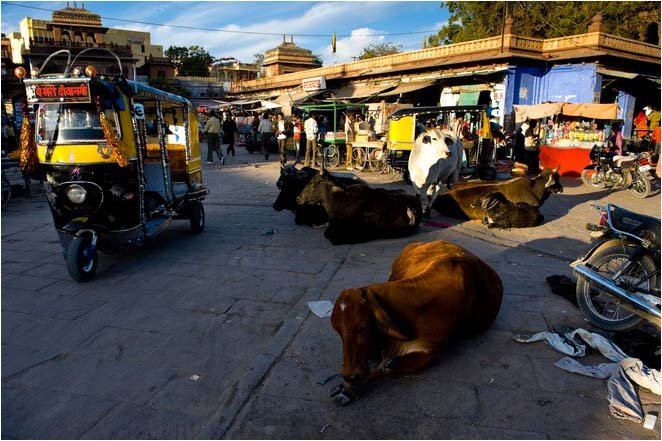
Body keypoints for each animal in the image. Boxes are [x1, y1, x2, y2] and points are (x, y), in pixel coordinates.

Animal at [332, 239, 504, 404]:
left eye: (363, 327)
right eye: (338, 331)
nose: (348, 375)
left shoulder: (431, 349)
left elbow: (389, 365)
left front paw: (349, 390)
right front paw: (347, 387)